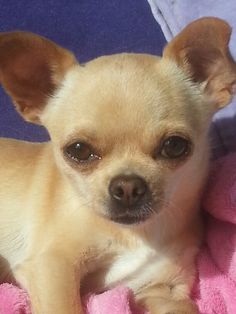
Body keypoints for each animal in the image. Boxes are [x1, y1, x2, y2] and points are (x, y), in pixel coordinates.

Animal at [0, 17, 236, 314]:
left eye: (174, 145)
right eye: (78, 150)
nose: (127, 186)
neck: (135, 235)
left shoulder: (163, 289)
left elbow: (184, 307)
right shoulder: (53, 265)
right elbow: (66, 306)